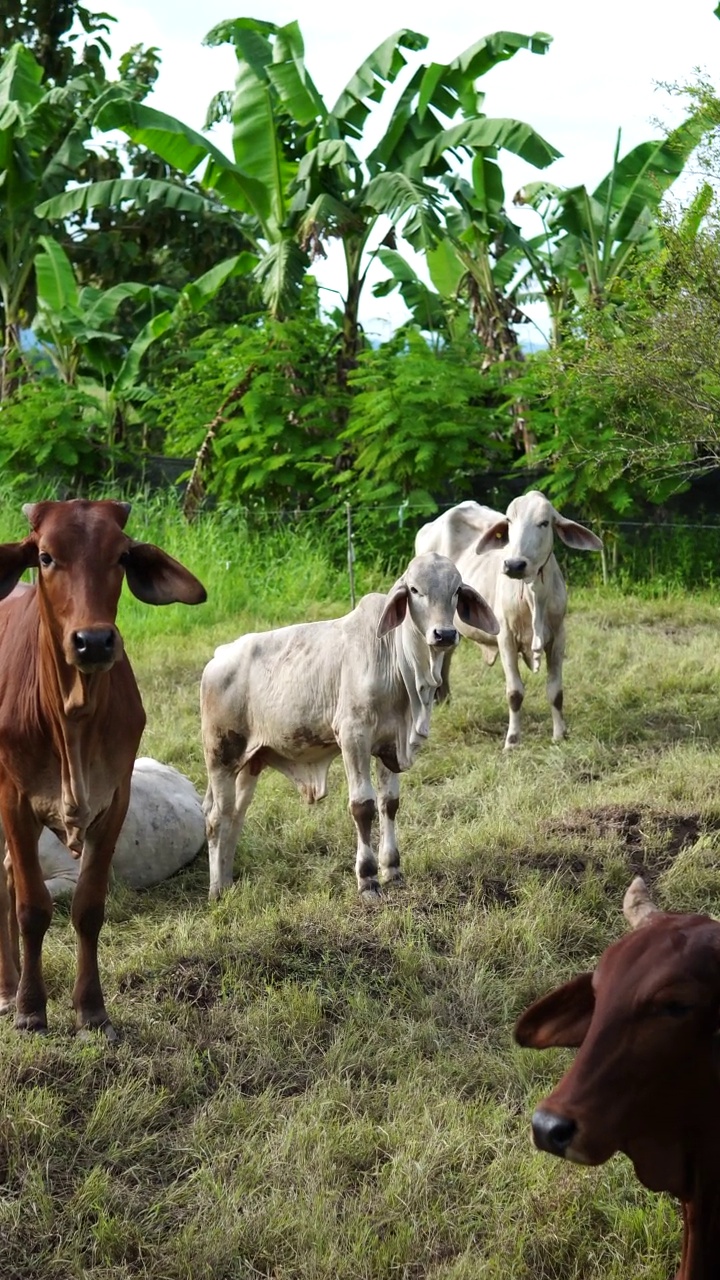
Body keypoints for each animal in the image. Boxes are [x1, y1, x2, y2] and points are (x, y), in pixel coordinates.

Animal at [0, 499, 204, 1039]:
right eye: (45, 556)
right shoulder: (14, 801)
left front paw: (90, 1010)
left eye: (120, 556)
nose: (92, 642)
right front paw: (30, 1008)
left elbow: (86, 909)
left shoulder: (112, 803)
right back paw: (8, 989)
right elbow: (30, 906)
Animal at [198, 555, 497, 906]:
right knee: (216, 818)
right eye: (414, 590)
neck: (397, 663)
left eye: (456, 590)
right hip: (221, 756)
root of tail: (218, 656)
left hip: (250, 763)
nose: (445, 634)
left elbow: (389, 803)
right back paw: (216, 890)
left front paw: (392, 870)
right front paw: (368, 879)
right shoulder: (354, 737)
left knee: (235, 815)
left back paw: (228, 882)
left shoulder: (389, 745)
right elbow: (362, 806)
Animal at [415, 488, 599, 747]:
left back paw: (445, 699)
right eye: (510, 522)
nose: (514, 564)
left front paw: (560, 734)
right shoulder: (506, 637)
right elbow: (515, 692)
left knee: (446, 654)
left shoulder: (558, 636)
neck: (533, 596)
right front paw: (512, 739)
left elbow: (555, 691)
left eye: (544, 523)